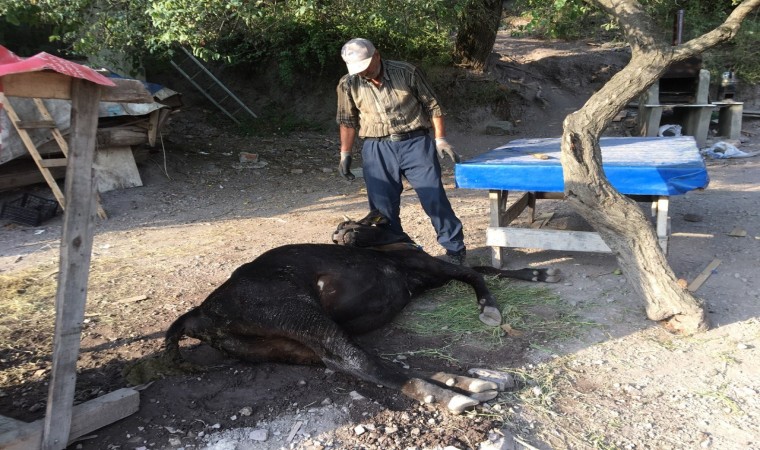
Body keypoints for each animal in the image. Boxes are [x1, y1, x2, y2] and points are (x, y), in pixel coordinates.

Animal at [165, 211, 560, 414]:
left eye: (351, 224)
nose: (337, 234)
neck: (392, 246)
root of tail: (199, 312)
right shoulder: (432, 268)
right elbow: (477, 273)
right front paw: (490, 308)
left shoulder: (432, 272)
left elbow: (484, 268)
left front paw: (538, 274)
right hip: (301, 315)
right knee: (361, 360)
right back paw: (450, 396)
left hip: (286, 346)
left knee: (352, 361)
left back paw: (462, 382)